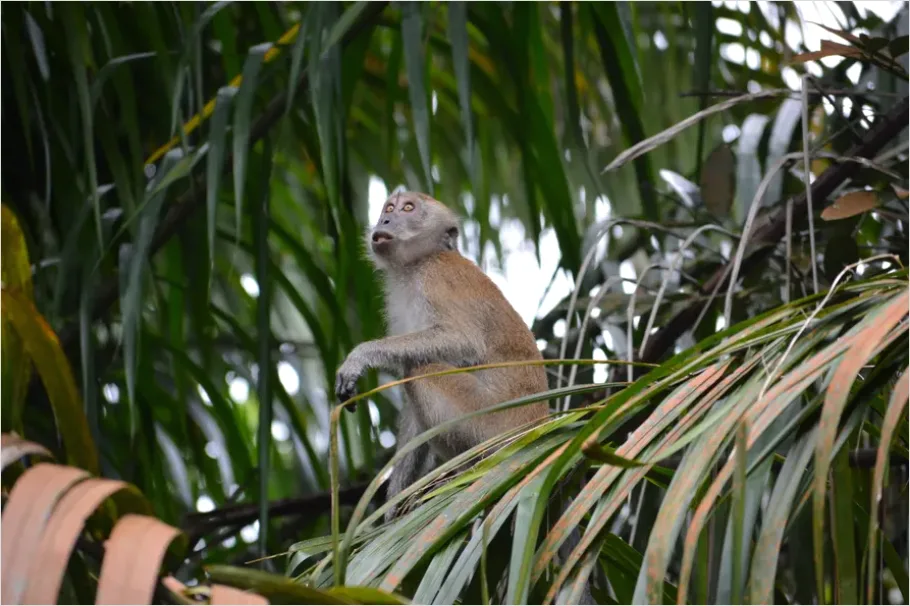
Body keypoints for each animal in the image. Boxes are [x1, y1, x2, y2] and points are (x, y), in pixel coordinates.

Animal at [334, 191, 597, 603]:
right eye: (389, 208)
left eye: (408, 209)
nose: (384, 221)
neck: (417, 264)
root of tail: (536, 426)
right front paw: (391, 512)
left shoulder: (438, 278)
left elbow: (462, 341)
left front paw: (361, 356)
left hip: (485, 419)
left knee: (423, 370)